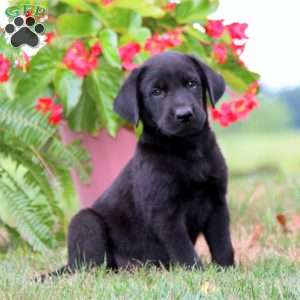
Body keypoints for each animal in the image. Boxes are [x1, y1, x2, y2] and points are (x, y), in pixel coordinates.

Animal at [45, 51, 236, 278]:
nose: (184, 114)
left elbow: (223, 244)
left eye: (192, 84)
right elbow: (184, 249)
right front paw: (197, 274)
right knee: (92, 267)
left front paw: (227, 272)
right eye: (156, 92)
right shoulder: (165, 212)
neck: (187, 149)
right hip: (85, 222)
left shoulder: (217, 202)